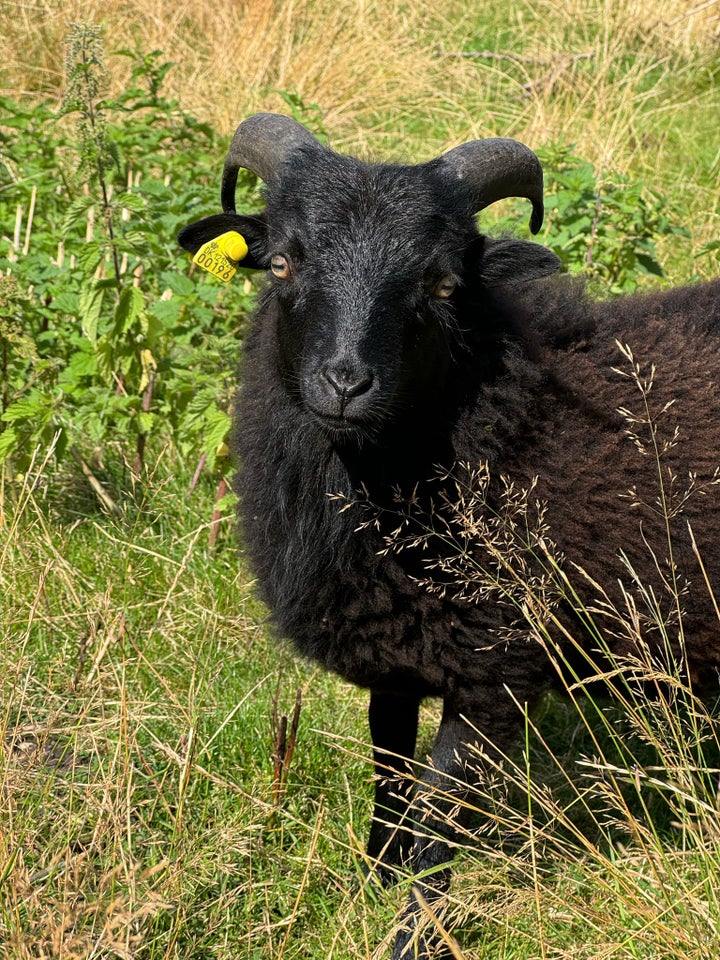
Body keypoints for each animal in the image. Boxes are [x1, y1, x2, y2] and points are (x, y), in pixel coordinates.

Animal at [179, 116, 720, 956]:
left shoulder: (494, 669)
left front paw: (412, 934)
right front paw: (370, 884)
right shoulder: (398, 654)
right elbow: (389, 775)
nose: (345, 384)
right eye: (282, 261)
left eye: (439, 284)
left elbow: (438, 818)